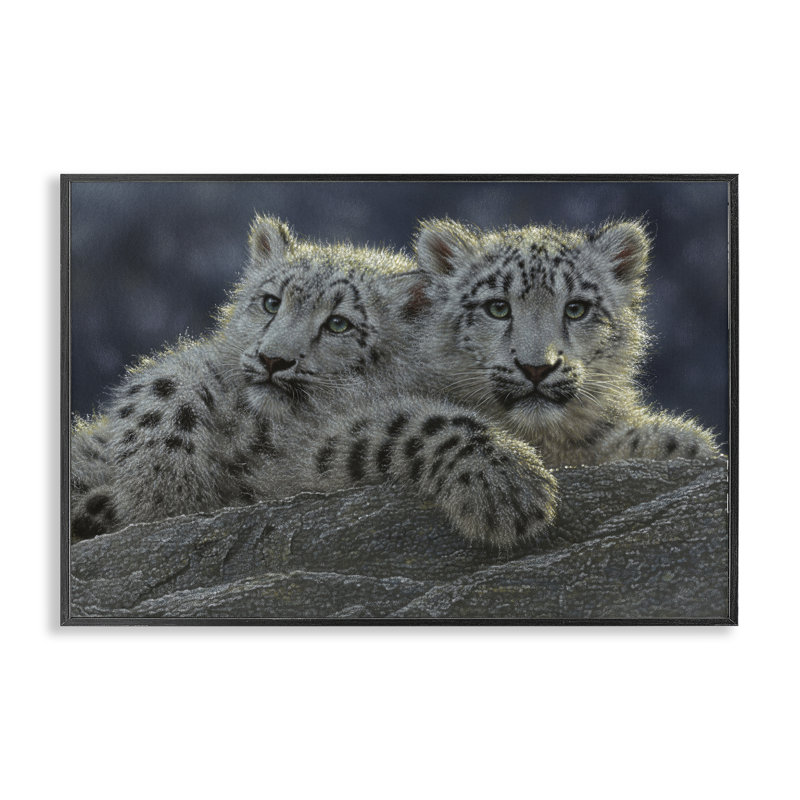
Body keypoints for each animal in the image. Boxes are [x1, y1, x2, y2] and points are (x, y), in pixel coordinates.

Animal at [70, 215, 557, 550]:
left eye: (339, 324)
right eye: (271, 302)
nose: (272, 359)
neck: (262, 429)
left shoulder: (305, 460)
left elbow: (415, 422)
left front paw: (512, 484)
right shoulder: (200, 369)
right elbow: (164, 386)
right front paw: (163, 487)